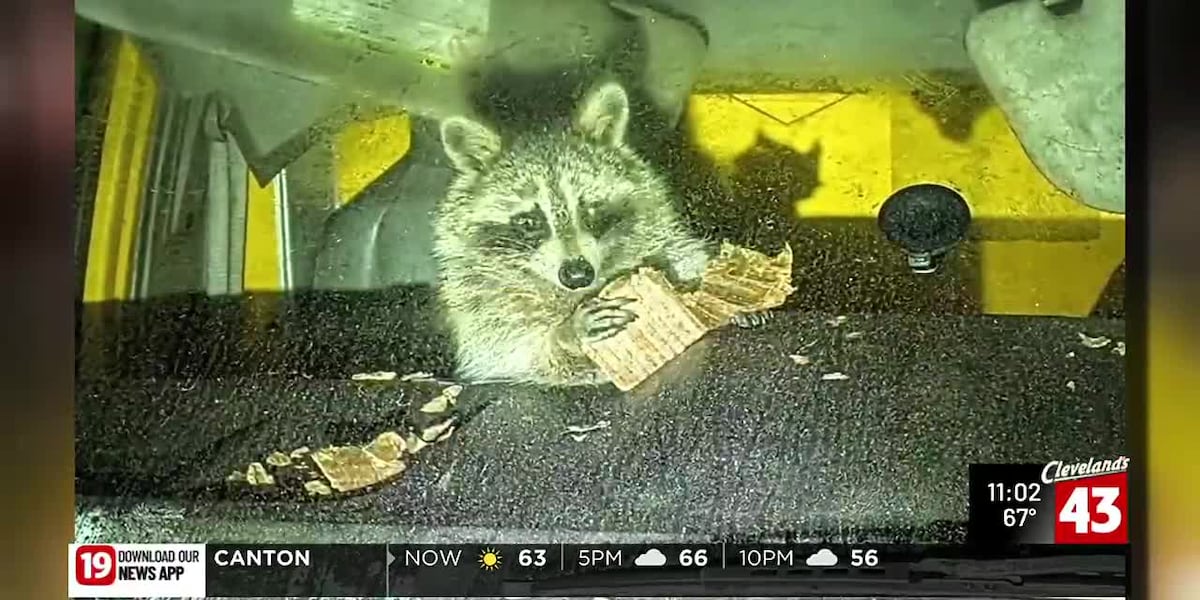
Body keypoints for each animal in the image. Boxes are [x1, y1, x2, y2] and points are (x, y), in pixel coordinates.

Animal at [432, 81, 713, 386]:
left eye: (590, 208)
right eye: (529, 221)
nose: (577, 275)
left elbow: (683, 255)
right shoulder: (481, 305)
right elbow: (514, 354)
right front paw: (566, 333)